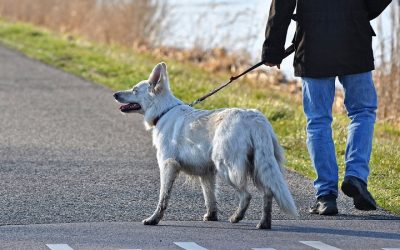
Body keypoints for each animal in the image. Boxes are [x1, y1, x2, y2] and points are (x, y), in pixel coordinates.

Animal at [112, 62, 296, 229]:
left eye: (134, 90)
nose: (115, 94)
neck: (163, 111)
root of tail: (254, 119)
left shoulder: (168, 165)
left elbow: (163, 198)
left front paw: (154, 219)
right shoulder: (206, 173)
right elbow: (210, 197)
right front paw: (211, 216)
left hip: (227, 168)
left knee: (247, 195)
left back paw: (237, 217)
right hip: (258, 166)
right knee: (268, 192)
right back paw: (264, 223)